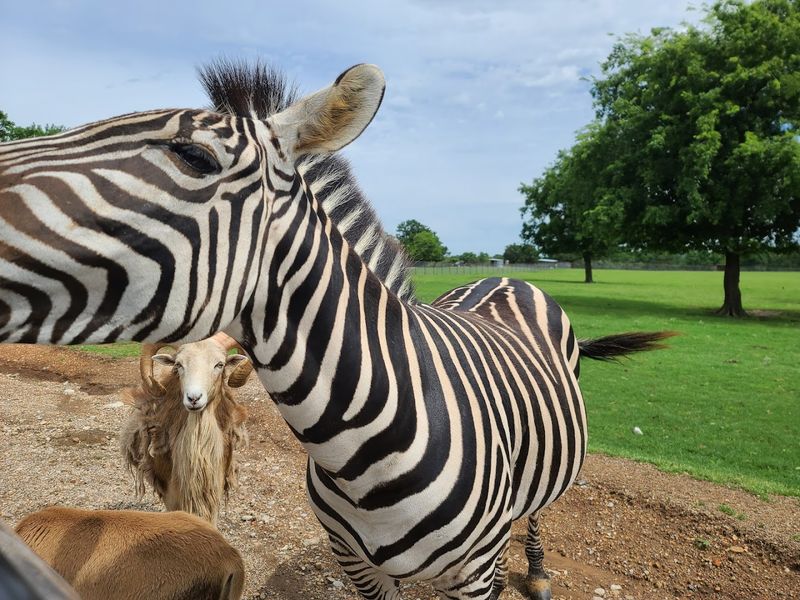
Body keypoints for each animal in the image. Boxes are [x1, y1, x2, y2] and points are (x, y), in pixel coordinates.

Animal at [0, 62, 672, 599]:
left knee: (536, 515)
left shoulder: (476, 578)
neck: (359, 452)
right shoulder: (355, 565)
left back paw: (535, 571)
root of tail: (504, 277)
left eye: (194, 156)